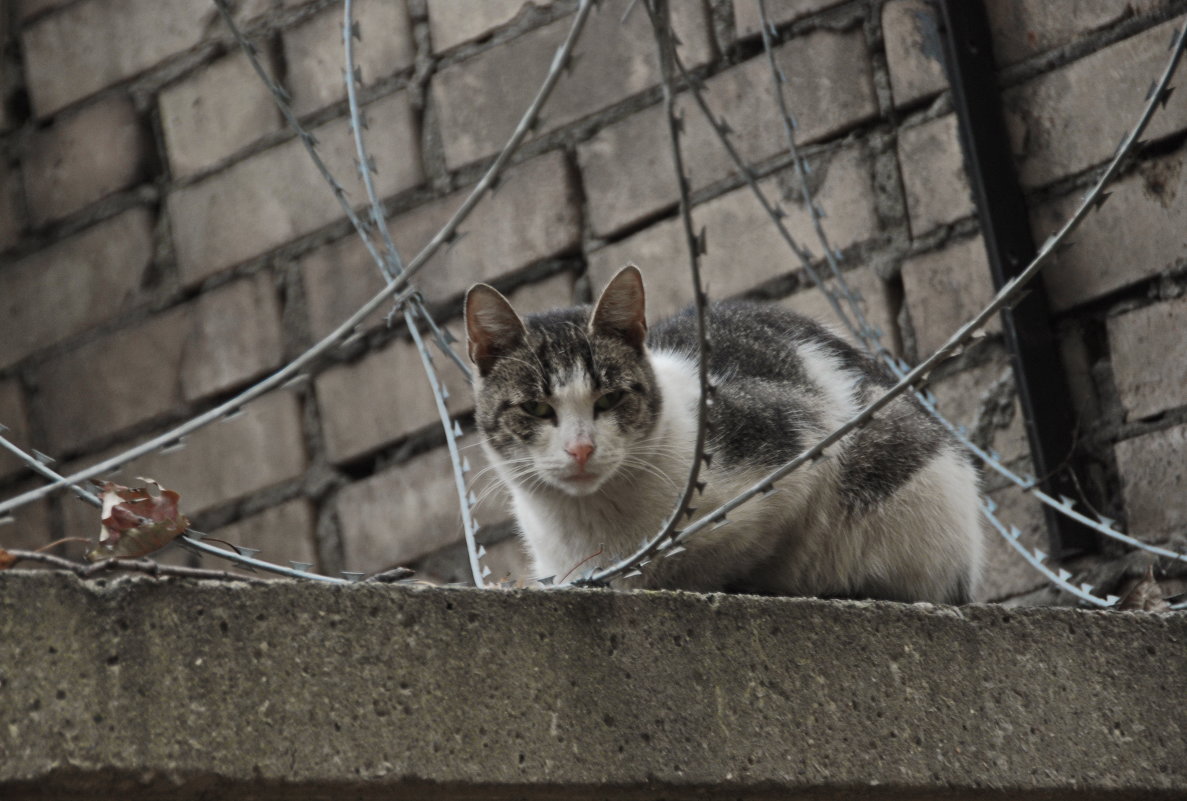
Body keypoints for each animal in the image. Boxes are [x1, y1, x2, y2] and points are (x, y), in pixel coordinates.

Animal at [462, 265, 982, 605]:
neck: (593, 522)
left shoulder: (802, 442)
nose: (581, 448)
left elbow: (754, 550)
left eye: (609, 399)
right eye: (535, 407)